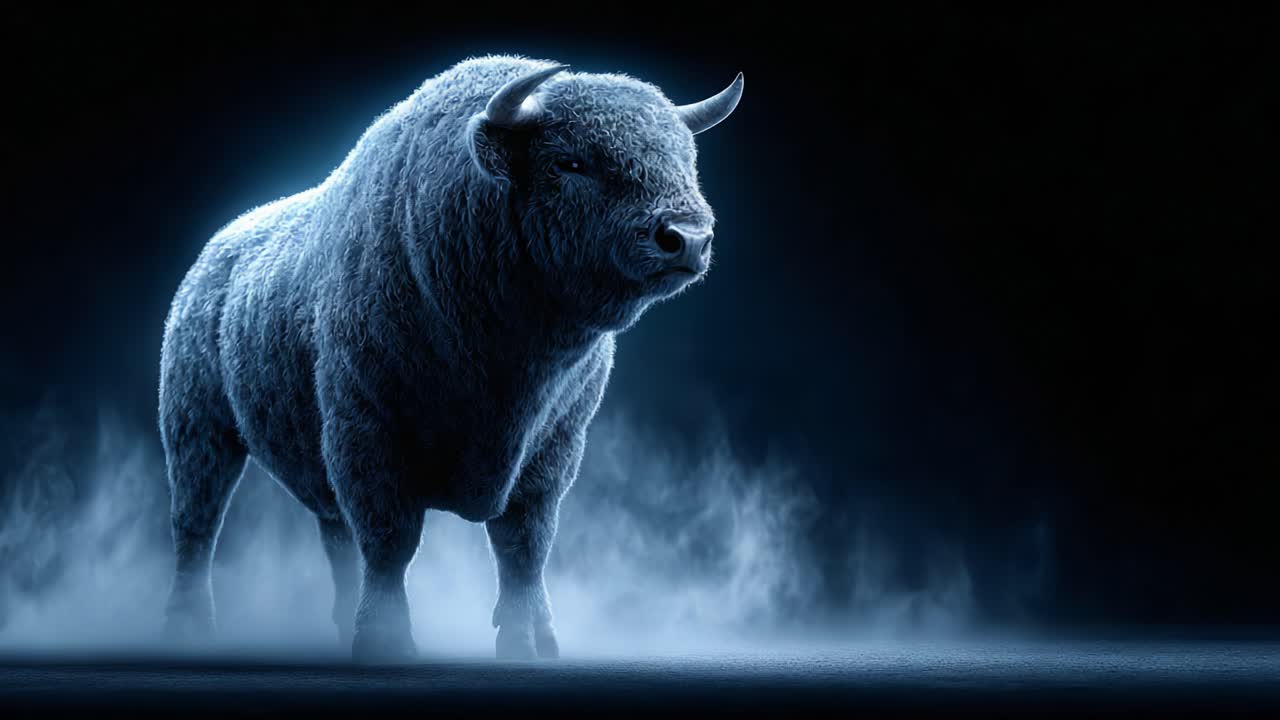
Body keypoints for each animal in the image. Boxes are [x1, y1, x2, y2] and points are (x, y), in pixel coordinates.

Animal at [159, 55, 742, 661]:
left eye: (686, 157)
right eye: (570, 161)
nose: (687, 237)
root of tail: (212, 260)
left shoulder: (555, 446)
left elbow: (524, 546)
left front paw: (530, 643)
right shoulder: (367, 433)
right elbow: (390, 544)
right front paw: (387, 643)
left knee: (332, 537)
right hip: (198, 430)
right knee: (196, 524)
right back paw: (188, 628)